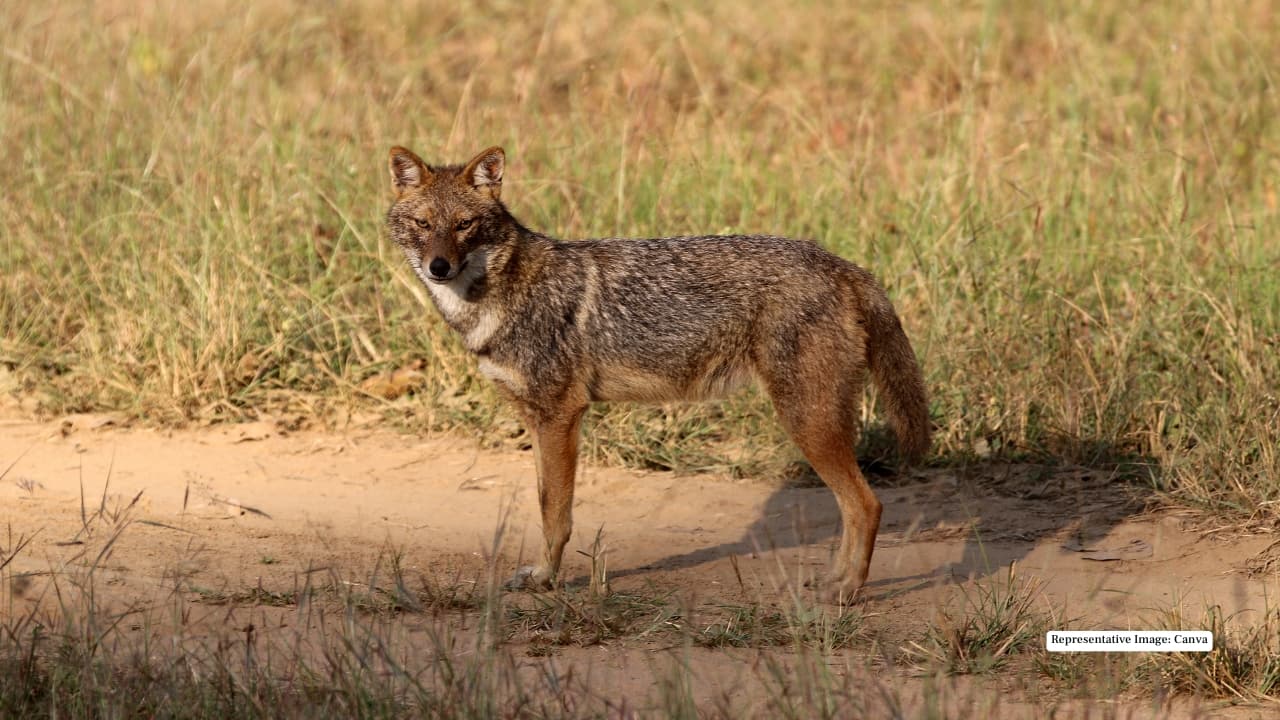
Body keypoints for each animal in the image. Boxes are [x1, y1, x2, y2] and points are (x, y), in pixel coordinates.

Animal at [384, 145, 930, 602]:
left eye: (464, 225)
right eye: (422, 223)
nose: (438, 267)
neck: (495, 299)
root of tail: (841, 264)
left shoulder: (561, 416)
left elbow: (555, 514)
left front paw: (548, 580)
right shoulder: (538, 420)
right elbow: (545, 505)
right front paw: (542, 576)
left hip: (807, 422)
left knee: (867, 505)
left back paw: (848, 591)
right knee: (856, 507)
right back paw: (836, 581)